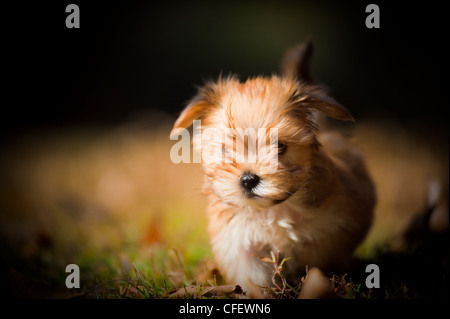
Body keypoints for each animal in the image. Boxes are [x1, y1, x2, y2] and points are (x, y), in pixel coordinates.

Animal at [171, 42, 374, 300]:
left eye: (280, 146)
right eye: (225, 149)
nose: (249, 179)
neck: (273, 209)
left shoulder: (334, 231)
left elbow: (320, 258)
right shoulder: (240, 243)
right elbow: (254, 277)